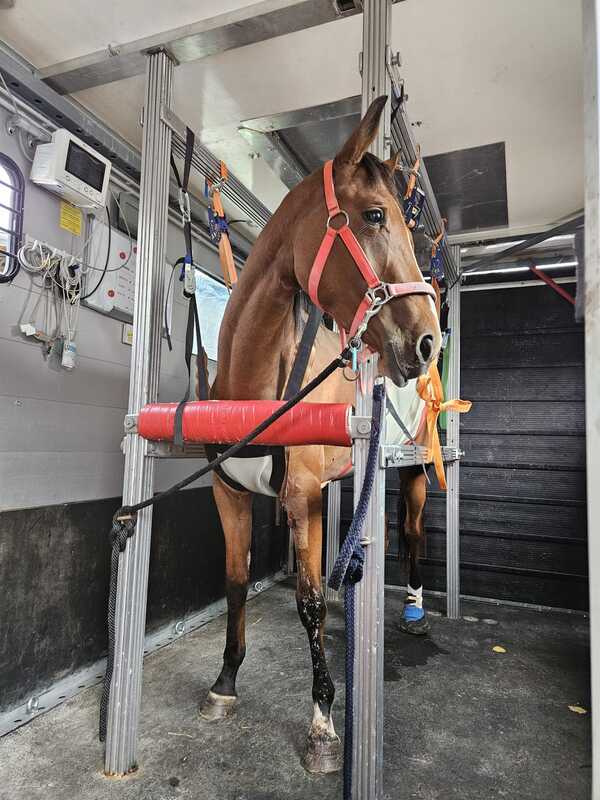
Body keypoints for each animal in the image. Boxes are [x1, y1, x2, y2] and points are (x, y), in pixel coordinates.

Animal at [199, 96, 442, 773]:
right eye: (376, 215)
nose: (428, 340)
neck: (253, 382)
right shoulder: (231, 495)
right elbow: (235, 582)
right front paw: (225, 683)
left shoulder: (302, 495)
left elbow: (308, 598)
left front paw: (324, 722)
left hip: (413, 472)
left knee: (412, 535)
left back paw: (414, 609)